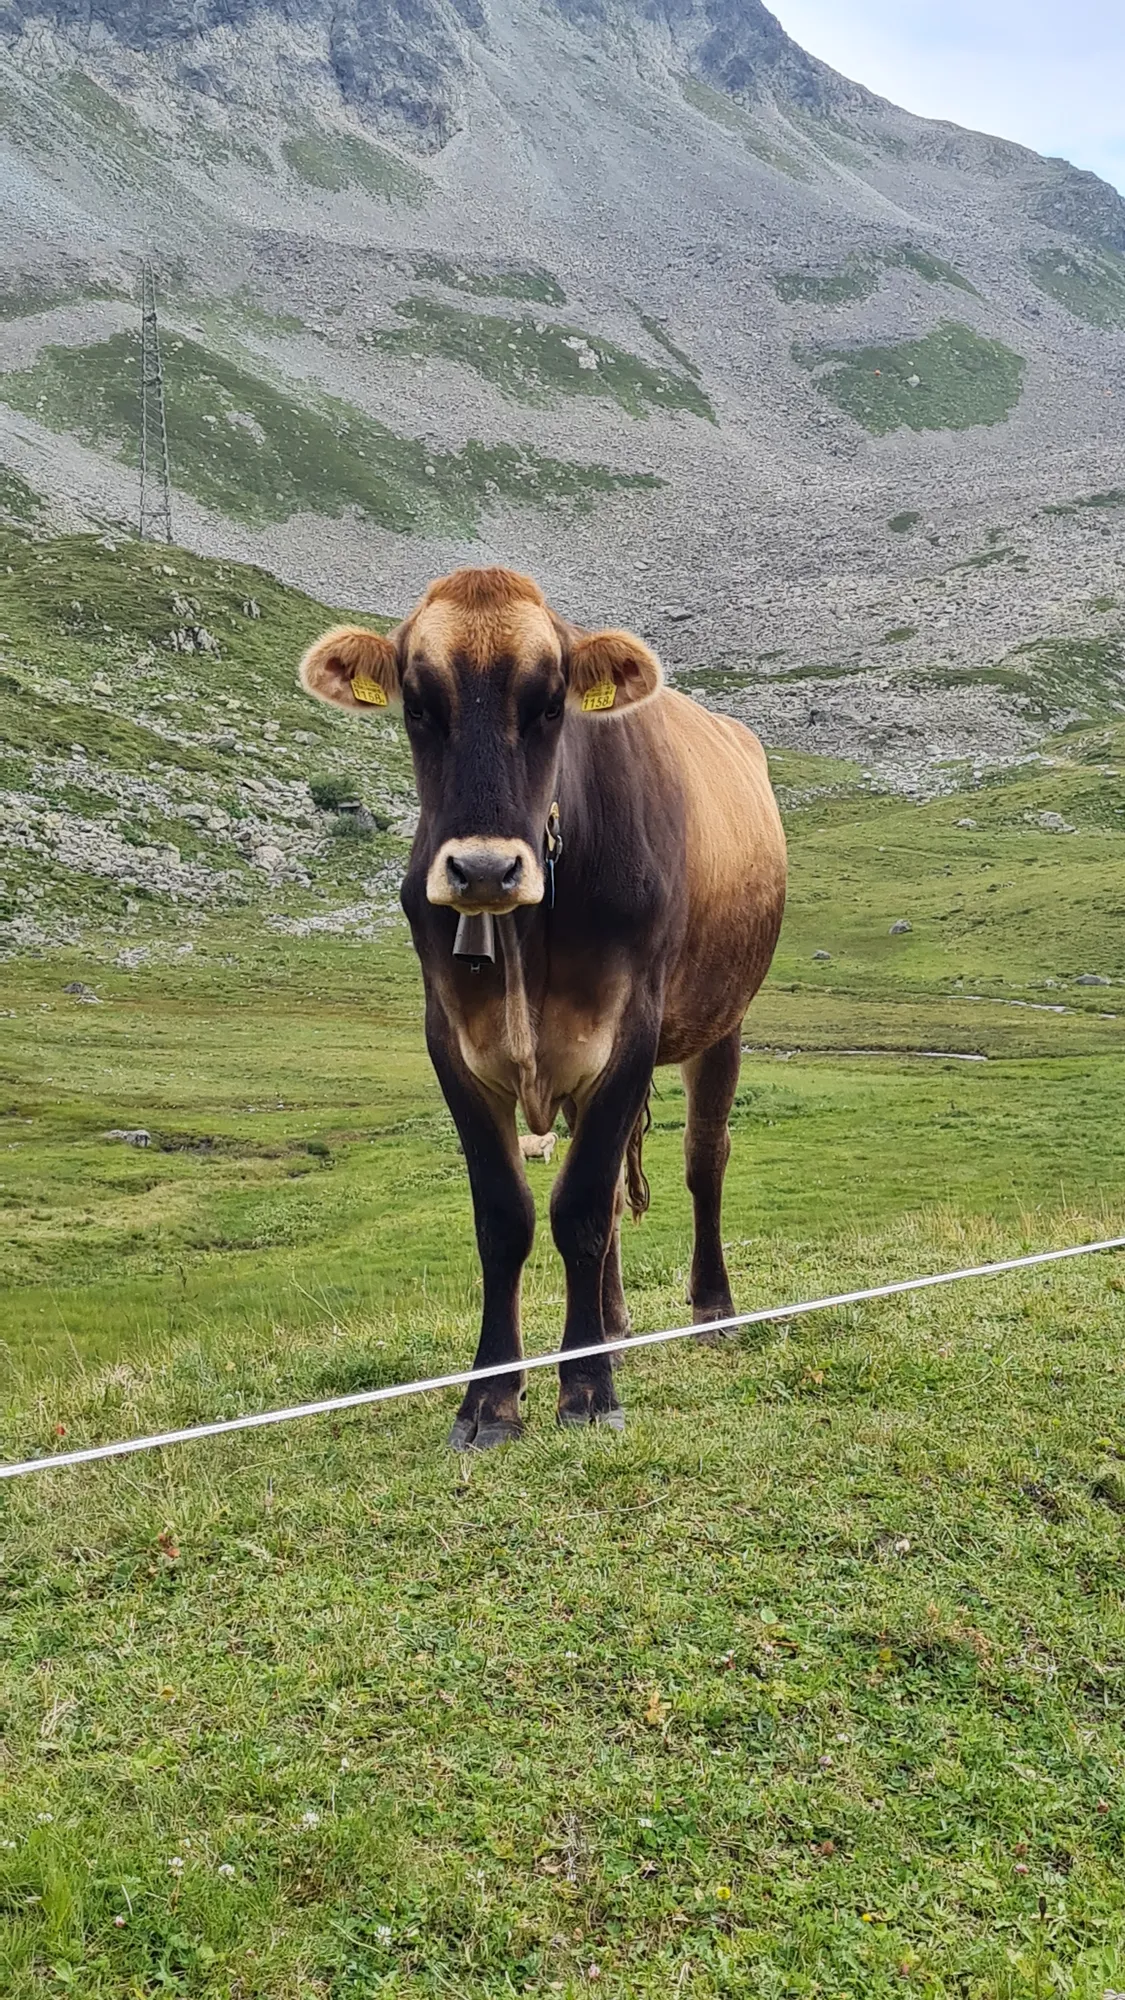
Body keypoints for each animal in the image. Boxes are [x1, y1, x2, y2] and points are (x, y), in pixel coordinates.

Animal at [299, 567, 786, 1448]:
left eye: (552, 703)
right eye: (417, 704)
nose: (484, 870)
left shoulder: (630, 1029)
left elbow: (583, 1207)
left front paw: (586, 1391)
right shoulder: (452, 1043)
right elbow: (508, 1216)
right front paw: (490, 1399)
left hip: (721, 1018)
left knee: (704, 1159)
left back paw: (711, 1309)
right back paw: (614, 1324)